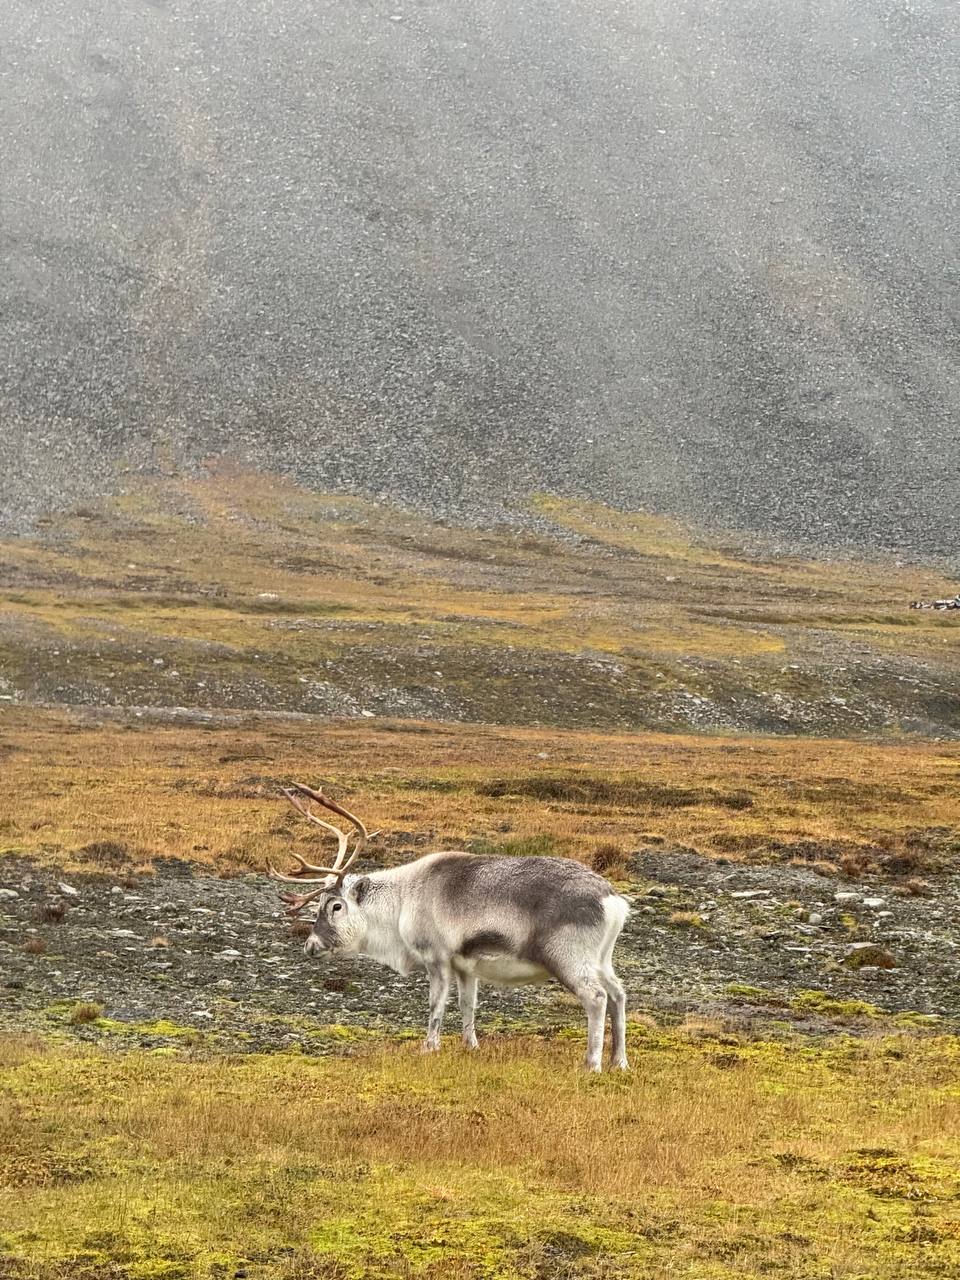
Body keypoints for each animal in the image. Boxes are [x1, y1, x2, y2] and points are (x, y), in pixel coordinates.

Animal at [269, 783, 630, 1071]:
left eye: (336, 906)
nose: (311, 945)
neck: (401, 902)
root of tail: (613, 899)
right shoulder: (466, 966)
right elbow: (467, 1005)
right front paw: (471, 1046)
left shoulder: (437, 957)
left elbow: (436, 1004)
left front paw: (429, 1046)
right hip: (602, 959)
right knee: (618, 993)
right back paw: (620, 1061)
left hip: (568, 959)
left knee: (597, 997)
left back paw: (592, 1064)